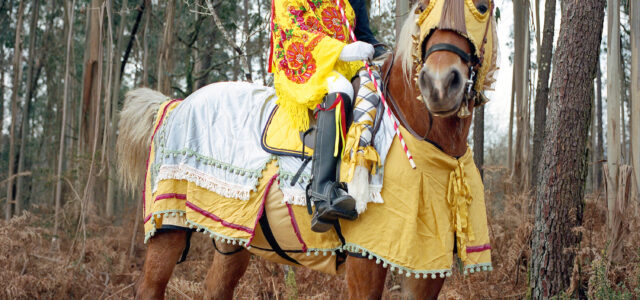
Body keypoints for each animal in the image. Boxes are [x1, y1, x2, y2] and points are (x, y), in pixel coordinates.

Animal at [117, 1, 498, 298]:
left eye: (482, 7)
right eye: (422, 9)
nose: (439, 84)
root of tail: (176, 105)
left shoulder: (424, 266)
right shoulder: (366, 259)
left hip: (231, 230)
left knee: (216, 288)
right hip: (169, 225)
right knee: (150, 287)